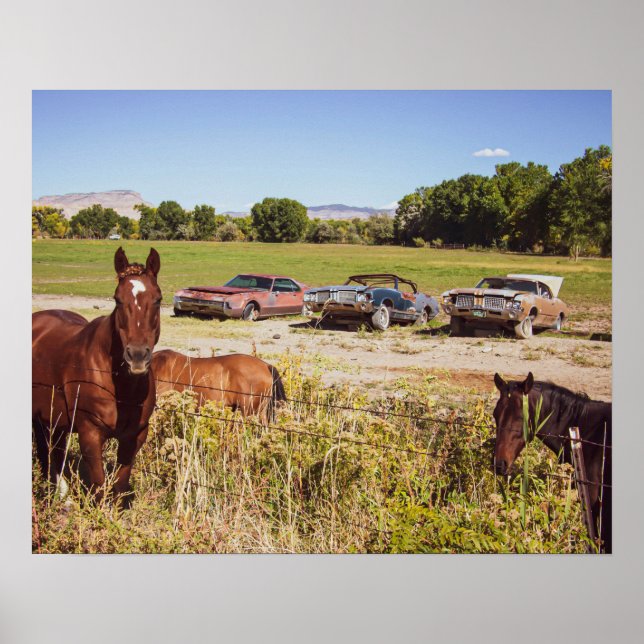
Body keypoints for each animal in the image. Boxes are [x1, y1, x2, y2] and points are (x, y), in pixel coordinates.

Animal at [32, 247, 162, 506]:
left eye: (158, 299)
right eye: (118, 299)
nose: (137, 356)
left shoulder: (134, 436)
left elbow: (120, 486)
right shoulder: (90, 434)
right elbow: (100, 488)